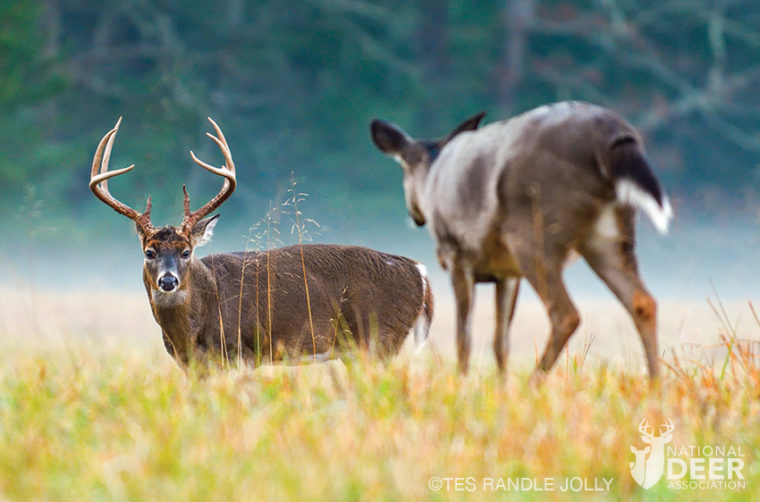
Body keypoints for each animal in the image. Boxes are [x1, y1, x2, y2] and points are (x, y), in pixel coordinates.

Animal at [87, 116, 434, 368]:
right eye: (149, 251)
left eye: (186, 251)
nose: (168, 280)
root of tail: (421, 272)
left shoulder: (241, 352)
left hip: (381, 340)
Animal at [372, 100, 672, 378]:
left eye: (403, 170)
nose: (415, 216)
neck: (432, 175)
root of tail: (610, 135)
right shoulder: (507, 272)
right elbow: (501, 342)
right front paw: (501, 388)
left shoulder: (457, 253)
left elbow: (463, 337)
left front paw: (462, 383)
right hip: (609, 235)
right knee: (643, 302)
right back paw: (654, 386)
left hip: (533, 230)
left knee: (565, 313)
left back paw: (534, 382)